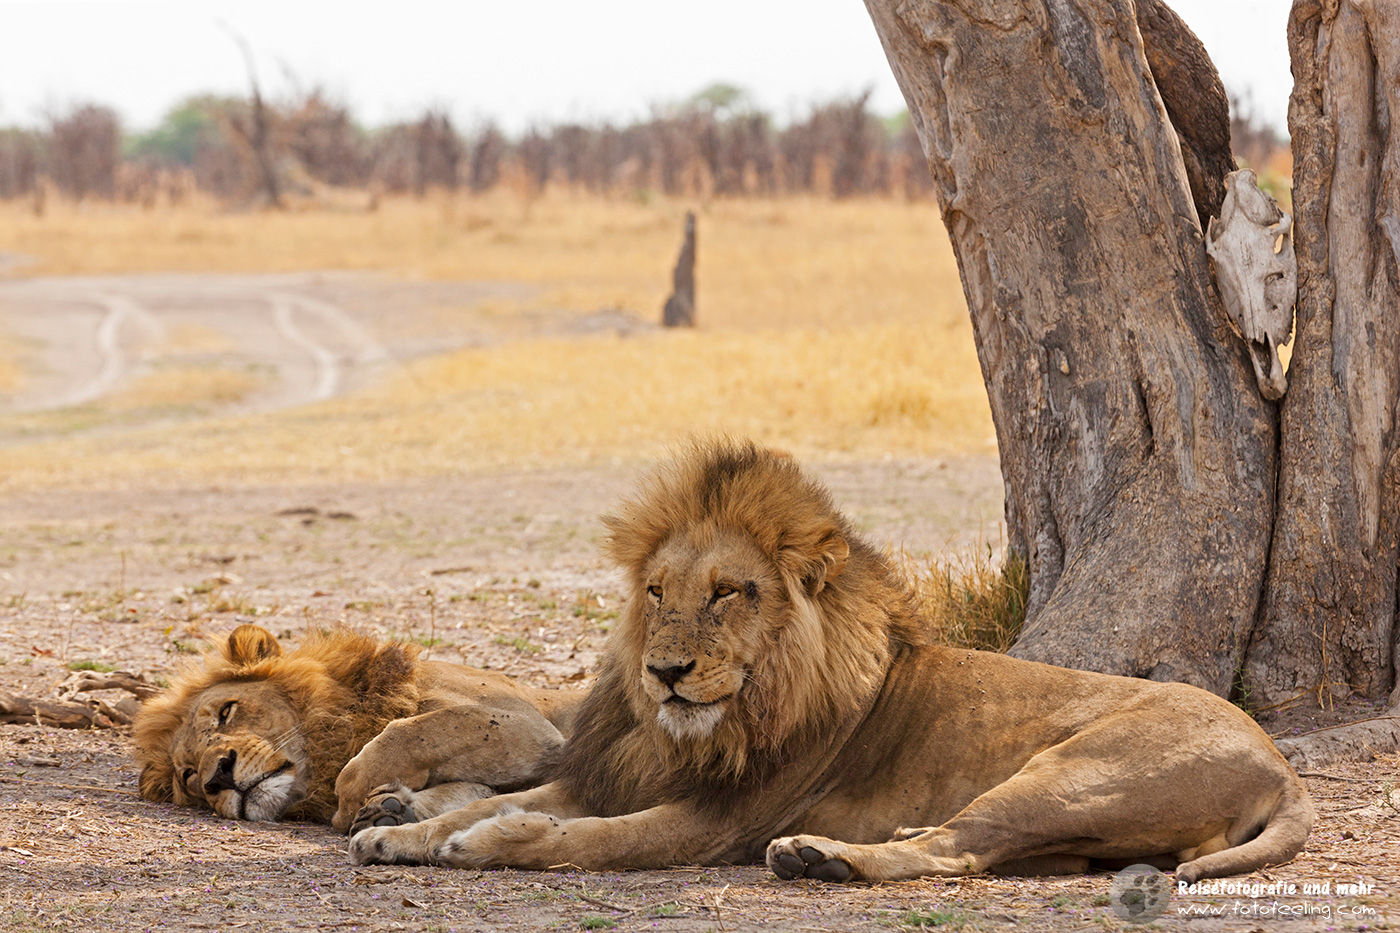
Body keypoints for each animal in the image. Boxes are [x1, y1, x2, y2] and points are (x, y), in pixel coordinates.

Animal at [133, 624, 579, 833]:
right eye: (189, 776)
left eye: (226, 712)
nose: (218, 777)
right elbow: (478, 791)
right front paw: (394, 810)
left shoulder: (529, 725)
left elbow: (414, 729)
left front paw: (352, 796)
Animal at [348, 440, 1314, 884]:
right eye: (656, 592)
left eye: (729, 592)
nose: (664, 673)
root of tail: (1280, 761)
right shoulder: (620, 770)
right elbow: (501, 800)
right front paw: (397, 830)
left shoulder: (716, 821)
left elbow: (583, 837)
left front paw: (486, 837)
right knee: (966, 846)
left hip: (1075, 773)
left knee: (960, 850)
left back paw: (823, 856)